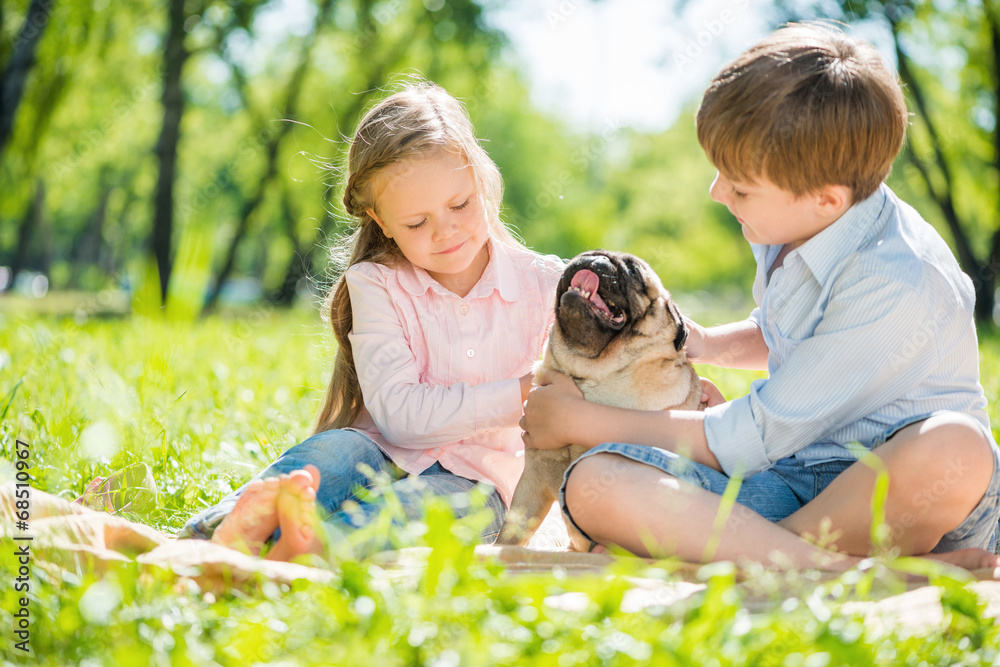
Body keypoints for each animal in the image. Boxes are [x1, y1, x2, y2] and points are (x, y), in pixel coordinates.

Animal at [494, 250, 704, 552]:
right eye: (586, 254)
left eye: (633, 272)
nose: (595, 259)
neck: (589, 375)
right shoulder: (531, 480)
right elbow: (510, 534)